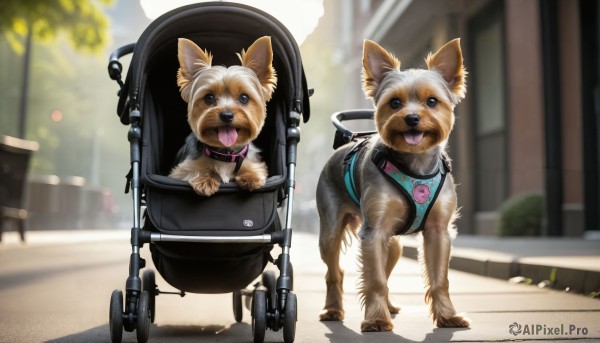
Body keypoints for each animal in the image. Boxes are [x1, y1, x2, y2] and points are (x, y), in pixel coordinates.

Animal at [170, 36, 278, 198]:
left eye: (244, 98)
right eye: (209, 98)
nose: (227, 115)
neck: (225, 153)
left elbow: (254, 169)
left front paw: (250, 177)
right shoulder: (181, 170)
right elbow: (193, 170)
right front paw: (205, 180)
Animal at [316, 39, 472, 332]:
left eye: (432, 101)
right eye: (394, 102)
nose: (411, 118)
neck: (415, 164)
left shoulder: (438, 232)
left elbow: (439, 279)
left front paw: (448, 316)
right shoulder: (373, 232)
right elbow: (374, 279)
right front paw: (376, 320)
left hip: (394, 245)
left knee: (386, 270)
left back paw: (387, 306)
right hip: (330, 232)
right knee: (335, 270)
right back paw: (332, 310)